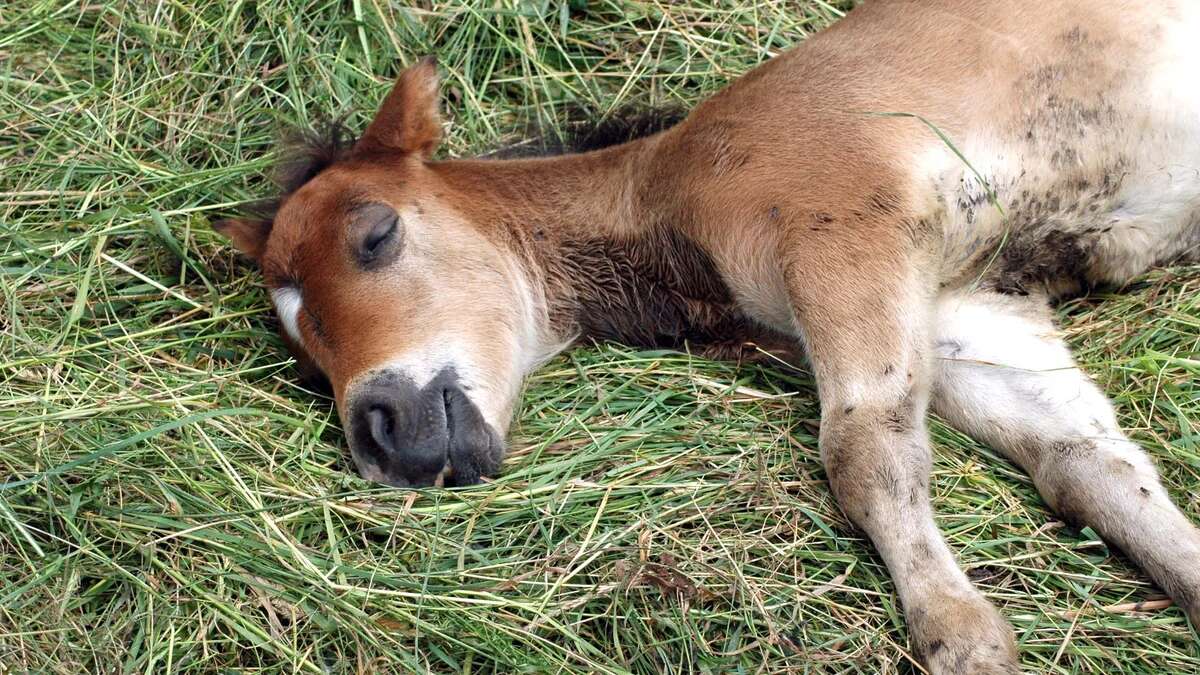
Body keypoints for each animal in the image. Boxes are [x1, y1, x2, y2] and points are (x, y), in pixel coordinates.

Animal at [216, 2, 1200, 667]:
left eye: (376, 234)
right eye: (302, 350)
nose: (380, 435)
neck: (667, 202)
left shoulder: (843, 232)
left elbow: (863, 451)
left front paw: (958, 634)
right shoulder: (967, 315)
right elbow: (1090, 463)